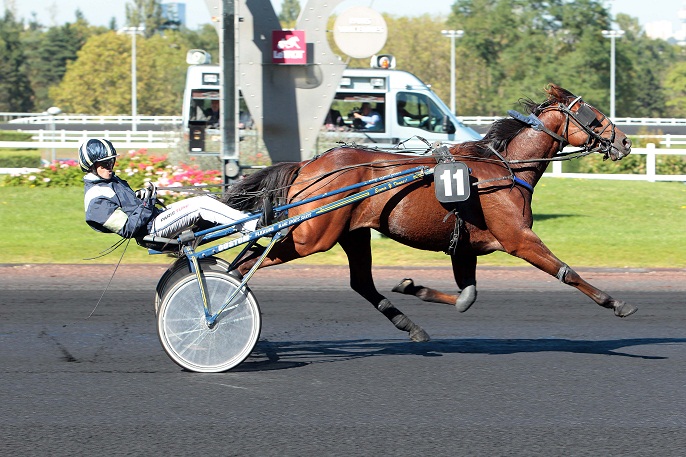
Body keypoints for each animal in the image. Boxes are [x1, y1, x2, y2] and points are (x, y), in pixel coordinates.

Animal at [223, 84, 636, 342]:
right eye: (595, 116)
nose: (625, 141)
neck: (504, 168)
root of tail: (309, 165)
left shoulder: (465, 246)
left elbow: (467, 297)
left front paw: (412, 287)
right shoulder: (518, 238)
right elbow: (567, 272)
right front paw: (617, 303)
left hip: (352, 232)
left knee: (360, 282)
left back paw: (411, 326)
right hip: (313, 235)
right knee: (246, 264)